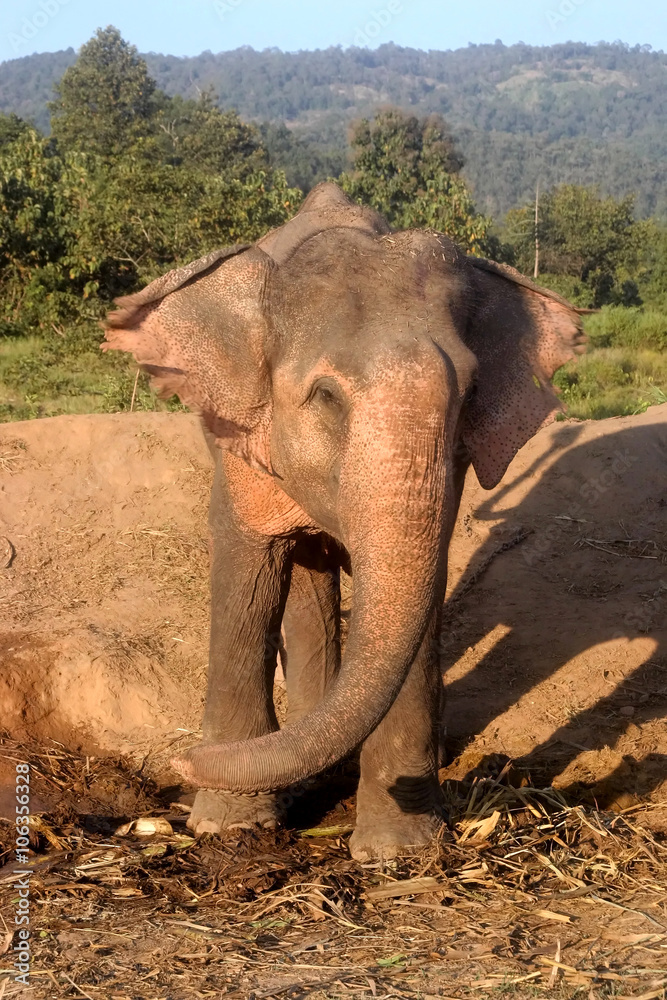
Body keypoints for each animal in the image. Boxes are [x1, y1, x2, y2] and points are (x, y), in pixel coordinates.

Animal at [103, 182, 585, 860]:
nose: (184, 760)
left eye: (467, 394)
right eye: (326, 397)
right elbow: (247, 573)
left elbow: (417, 594)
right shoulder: (241, 445)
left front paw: (398, 851)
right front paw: (228, 826)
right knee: (308, 569)